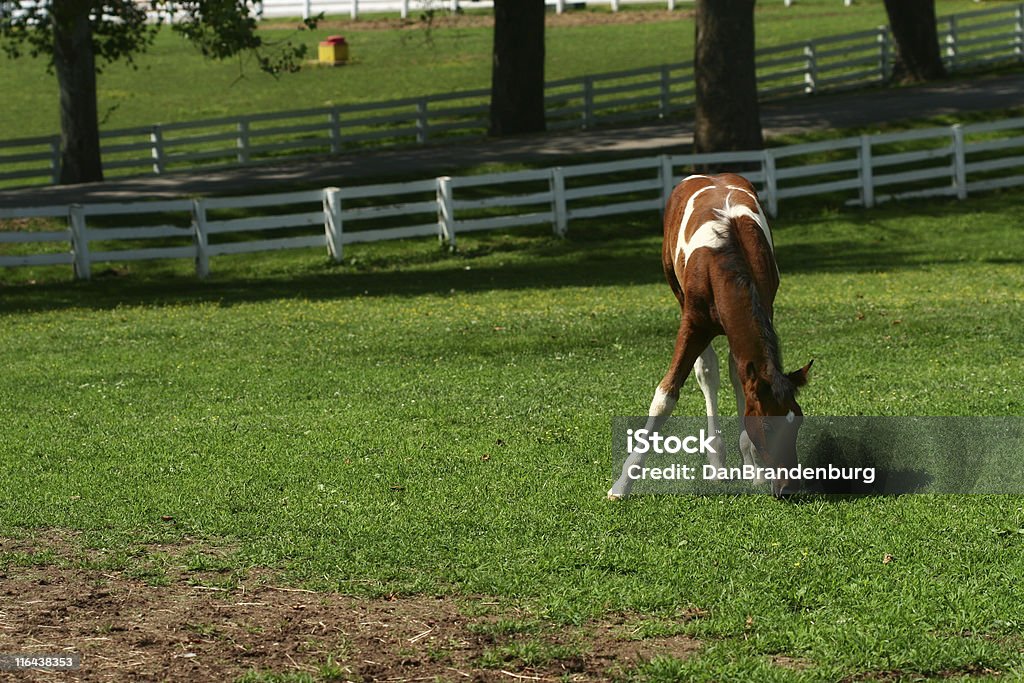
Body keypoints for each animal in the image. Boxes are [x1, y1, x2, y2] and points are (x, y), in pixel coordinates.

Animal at [606, 174, 815, 499]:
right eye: (768, 427)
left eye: (797, 423)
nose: (790, 487)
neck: (726, 258)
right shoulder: (693, 325)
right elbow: (665, 397)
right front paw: (622, 484)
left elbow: (742, 384)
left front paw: (754, 469)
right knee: (707, 373)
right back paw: (716, 461)